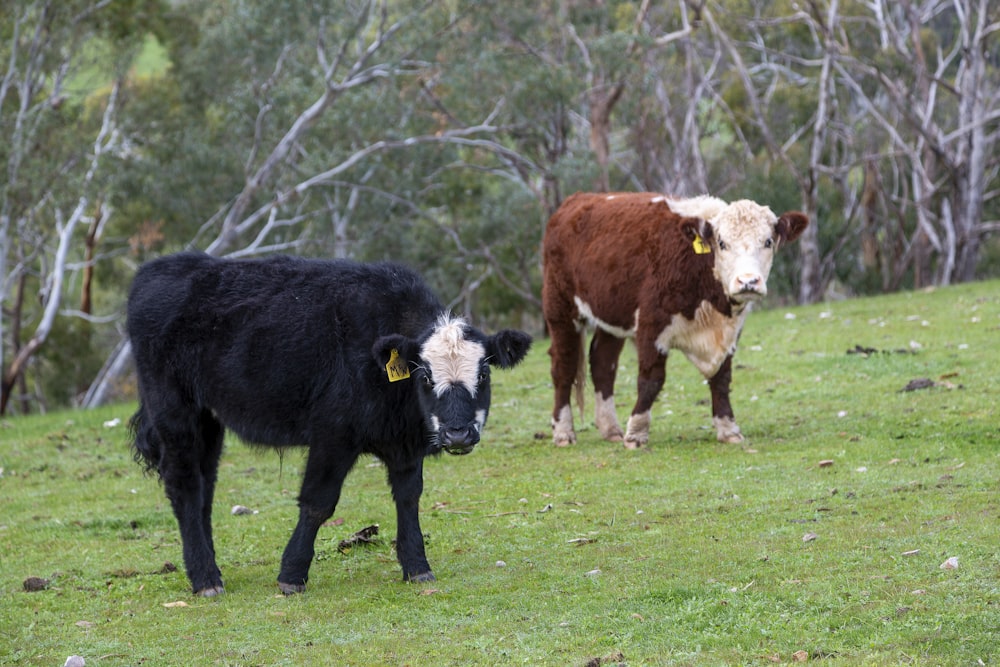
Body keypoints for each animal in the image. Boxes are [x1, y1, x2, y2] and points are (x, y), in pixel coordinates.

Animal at [129, 253, 536, 596]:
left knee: (205, 488)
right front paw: (292, 574)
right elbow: (318, 502)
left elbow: (408, 497)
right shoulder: (332, 435)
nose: (457, 433)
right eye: (424, 375)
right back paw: (205, 579)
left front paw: (417, 565)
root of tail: (160, 267)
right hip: (173, 412)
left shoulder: (404, 445)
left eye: (483, 374)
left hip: (208, 419)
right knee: (185, 485)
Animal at [544, 192, 808, 448]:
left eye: (768, 242)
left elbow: (721, 379)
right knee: (563, 367)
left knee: (602, 364)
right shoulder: (651, 326)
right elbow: (651, 380)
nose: (748, 281)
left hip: (611, 316)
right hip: (560, 309)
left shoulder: (731, 333)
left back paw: (611, 430)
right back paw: (563, 432)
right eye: (722, 243)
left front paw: (729, 430)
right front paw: (636, 434)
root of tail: (577, 199)